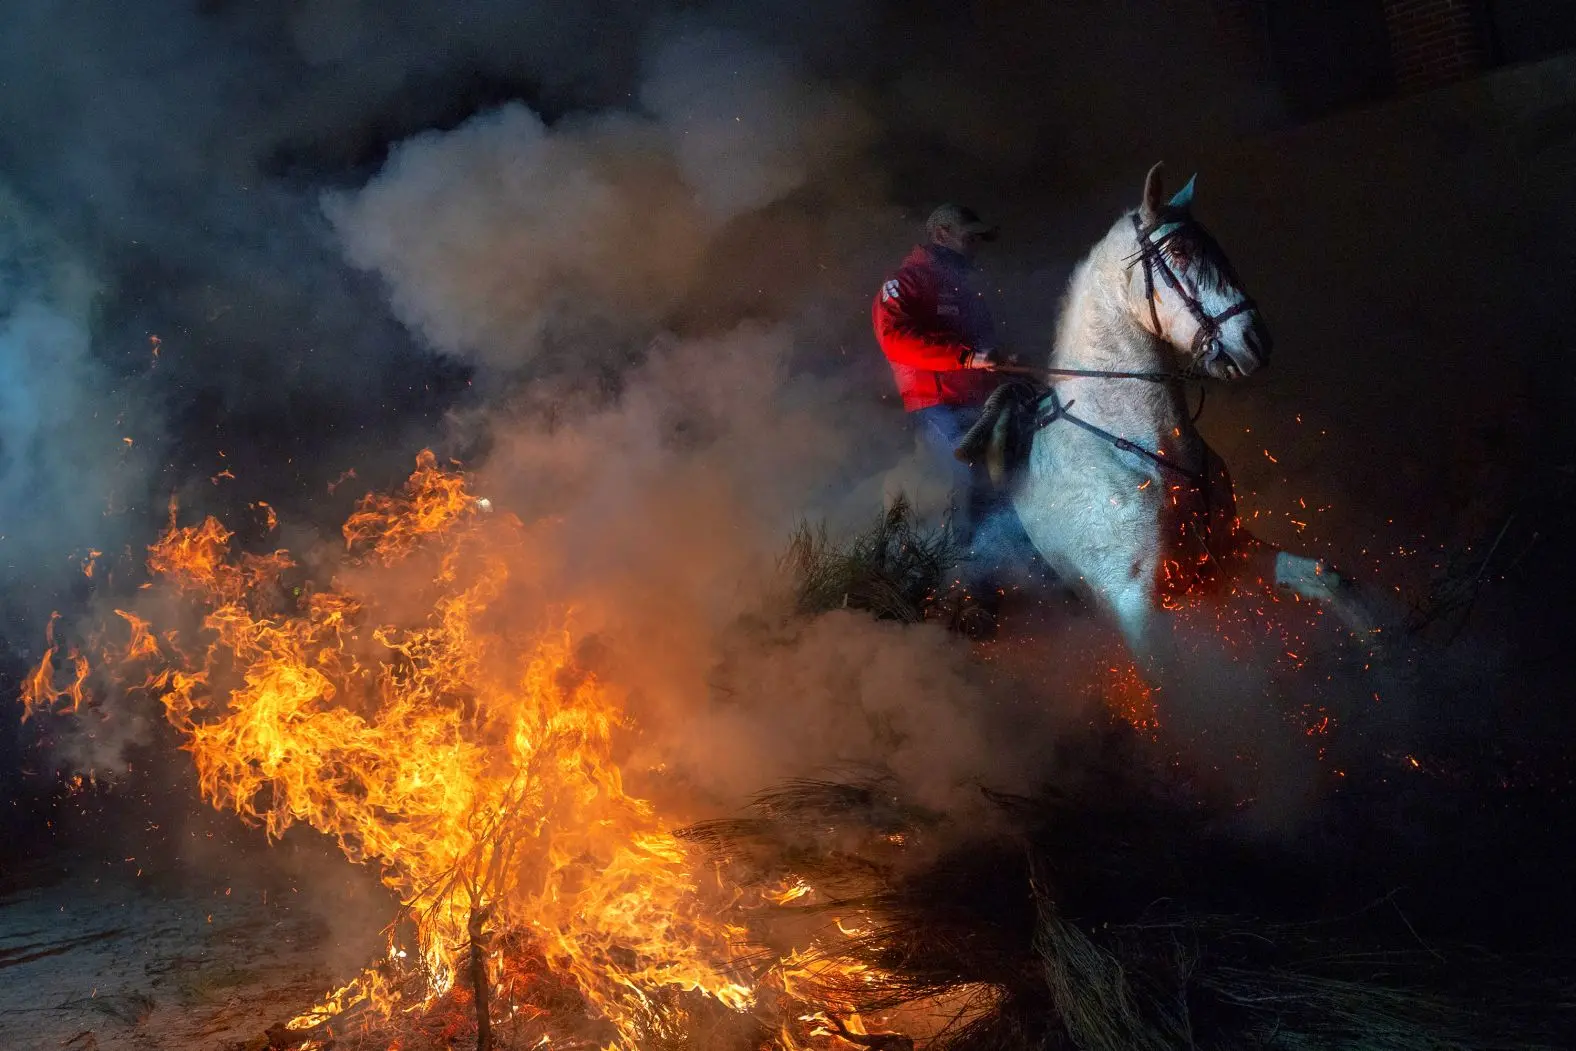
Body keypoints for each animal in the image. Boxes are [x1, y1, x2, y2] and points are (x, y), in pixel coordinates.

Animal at [1008, 165, 1367, 674]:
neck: (1139, 449)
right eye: (1177, 251)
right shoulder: (1140, 611)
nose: (1256, 341)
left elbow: (1326, 579)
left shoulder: (1230, 552)